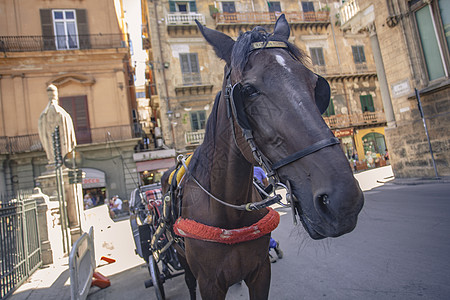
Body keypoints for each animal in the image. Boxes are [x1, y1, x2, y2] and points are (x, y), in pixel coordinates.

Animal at [161, 15, 362, 300]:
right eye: (247, 91)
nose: (344, 201)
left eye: (315, 84)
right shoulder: (209, 284)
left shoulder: (260, 272)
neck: (229, 215)